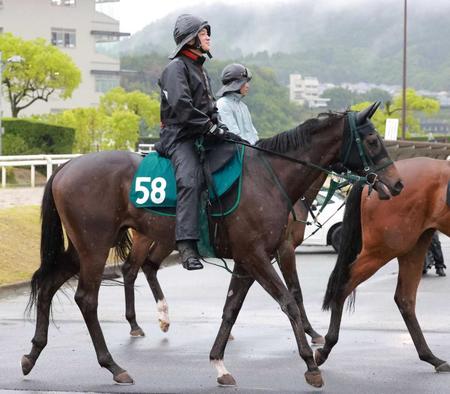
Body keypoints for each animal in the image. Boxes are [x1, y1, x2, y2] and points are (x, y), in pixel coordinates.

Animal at [22, 104, 402, 388]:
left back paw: (33, 354)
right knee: (88, 298)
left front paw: (219, 363)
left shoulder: (248, 260)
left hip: (82, 248)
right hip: (95, 246)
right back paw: (113, 364)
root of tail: (66, 166)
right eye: (371, 139)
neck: (269, 177)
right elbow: (289, 301)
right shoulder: (259, 256)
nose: (397, 184)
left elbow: (231, 309)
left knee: (49, 283)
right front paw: (311, 364)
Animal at [314, 155, 450, 374]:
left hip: (414, 244)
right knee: (343, 285)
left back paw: (430, 357)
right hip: (384, 249)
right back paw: (326, 347)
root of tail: (373, 178)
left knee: (405, 299)